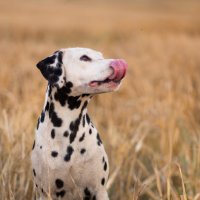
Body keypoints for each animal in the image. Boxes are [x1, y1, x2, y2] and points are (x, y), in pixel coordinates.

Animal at [31, 47, 127, 200]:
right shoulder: (45, 193)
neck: (68, 131)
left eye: (101, 56)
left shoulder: (99, 190)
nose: (118, 62)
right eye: (84, 58)